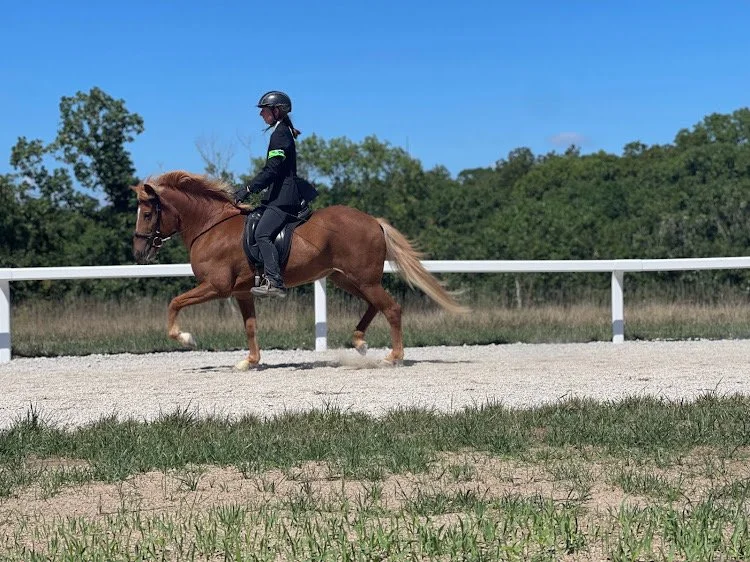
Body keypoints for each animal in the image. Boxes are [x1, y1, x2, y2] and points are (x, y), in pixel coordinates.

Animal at [131, 171, 467, 369]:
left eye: (147, 214)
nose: (138, 252)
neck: (211, 227)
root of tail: (373, 221)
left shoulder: (217, 287)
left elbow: (174, 303)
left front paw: (185, 338)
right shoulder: (242, 292)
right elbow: (250, 326)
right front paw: (250, 361)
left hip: (363, 279)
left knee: (392, 308)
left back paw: (393, 357)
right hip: (346, 279)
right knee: (376, 306)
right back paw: (359, 342)